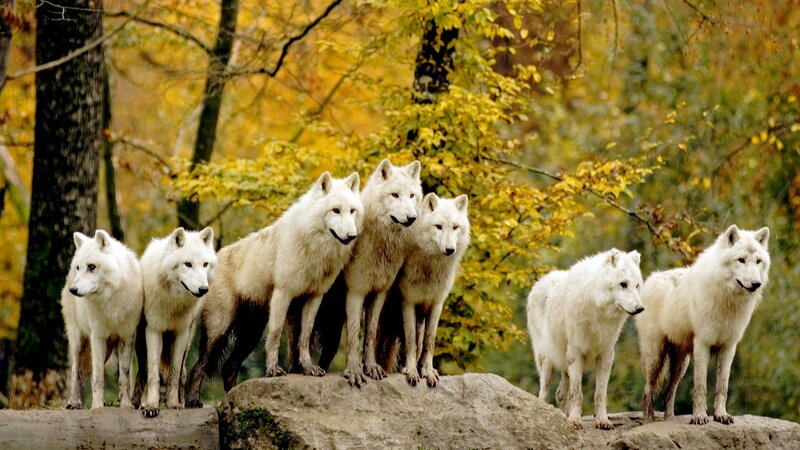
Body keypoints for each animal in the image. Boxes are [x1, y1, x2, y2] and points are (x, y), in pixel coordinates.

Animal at [61, 230, 143, 410]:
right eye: (79, 267)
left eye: (91, 267)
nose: (73, 290)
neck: (111, 299)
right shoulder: (97, 336)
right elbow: (97, 377)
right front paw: (97, 406)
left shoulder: (127, 336)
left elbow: (124, 376)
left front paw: (126, 404)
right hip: (79, 341)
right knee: (75, 371)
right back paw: (74, 402)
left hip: (108, 349)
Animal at [135, 227, 216, 418]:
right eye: (188, 264)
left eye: (205, 264)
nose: (203, 289)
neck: (173, 301)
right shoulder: (154, 330)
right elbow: (153, 374)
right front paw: (151, 406)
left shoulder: (181, 333)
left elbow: (174, 372)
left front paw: (174, 404)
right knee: (142, 372)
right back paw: (137, 402)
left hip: (188, 341)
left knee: (183, 373)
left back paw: (182, 401)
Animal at [185, 171, 363, 407]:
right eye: (335, 210)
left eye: (352, 211)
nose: (352, 235)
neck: (315, 248)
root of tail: (209, 262)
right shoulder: (283, 294)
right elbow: (276, 334)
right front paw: (273, 370)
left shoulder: (314, 297)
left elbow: (304, 336)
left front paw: (308, 368)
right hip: (219, 330)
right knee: (198, 367)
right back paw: (194, 401)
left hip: (251, 334)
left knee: (229, 367)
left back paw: (234, 402)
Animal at [526, 249, 644, 430]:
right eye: (623, 284)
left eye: (637, 286)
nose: (640, 308)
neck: (597, 310)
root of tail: (540, 281)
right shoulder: (576, 353)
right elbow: (577, 392)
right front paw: (575, 420)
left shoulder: (606, 354)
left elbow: (600, 393)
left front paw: (603, 421)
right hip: (548, 359)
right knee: (544, 392)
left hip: (564, 363)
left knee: (560, 394)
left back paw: (563, 416)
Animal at [636, 225, 770, 426]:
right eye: (741, 259)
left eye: (758, 261)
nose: (756, 283)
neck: (727, 301)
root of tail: (650, 279)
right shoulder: (703, 344)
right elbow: (700, 387)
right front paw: (699, 416)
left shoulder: (728, 347)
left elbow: (722, 387)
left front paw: (721, 415)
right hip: (655, 357)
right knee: (648, 389)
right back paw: (648, 419)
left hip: (681, 363)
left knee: (669, 390)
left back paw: (669, 418)